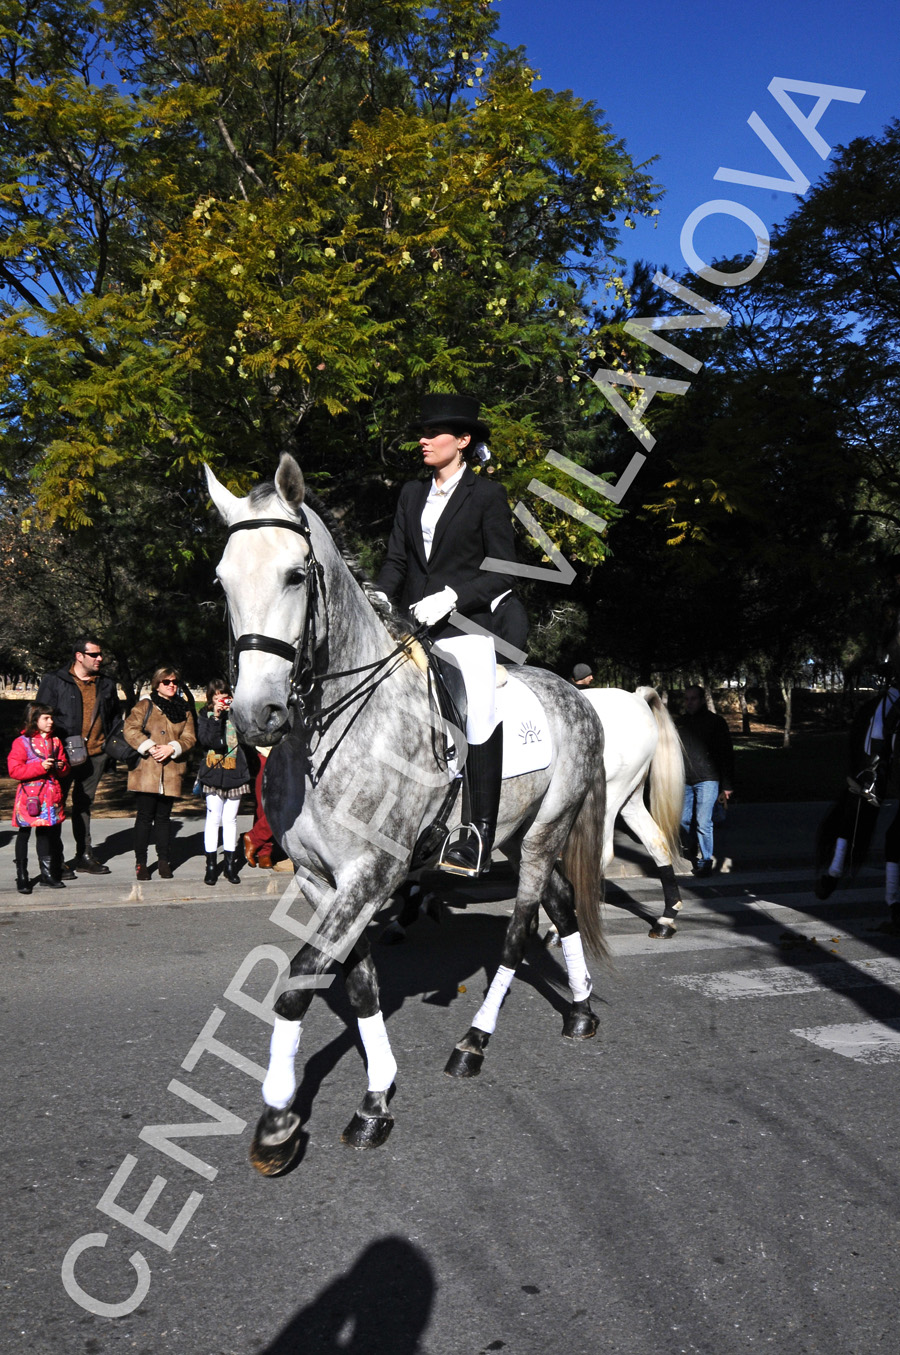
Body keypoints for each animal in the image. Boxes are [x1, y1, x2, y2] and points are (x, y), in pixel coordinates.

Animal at [207, 455, 607, 1176]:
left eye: (296, 574)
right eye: (222, 579)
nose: (256, 716)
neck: (329, 730)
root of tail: (576, 695)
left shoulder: (371, 871)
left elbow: (299, 978)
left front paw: (278, 1123)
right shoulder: (322, 880)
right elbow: (358, 981)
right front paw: (375, 1100)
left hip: (543, 835)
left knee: (519, 932)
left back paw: (474, 1043)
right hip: (519, 835)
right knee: (562, 908)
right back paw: (581, 1010)